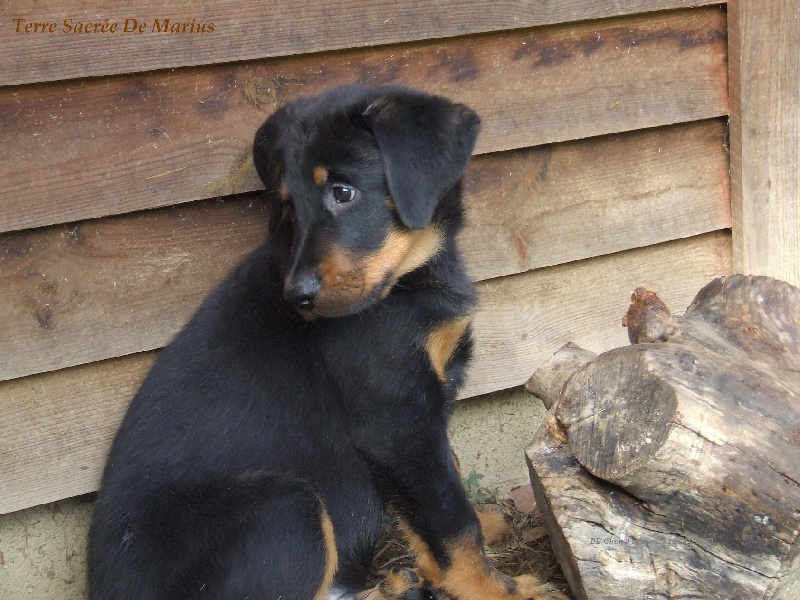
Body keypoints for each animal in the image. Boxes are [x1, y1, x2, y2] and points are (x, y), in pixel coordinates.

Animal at [87, 84, 556, 600]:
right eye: (289, 207)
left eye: (342, 193)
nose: (297, 297)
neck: (410, 278)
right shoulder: (396, 416)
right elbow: (449, 518)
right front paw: (497, 588)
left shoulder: (421, 405)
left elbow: (439, 486)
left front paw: (478, 531)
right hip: (288, 508)